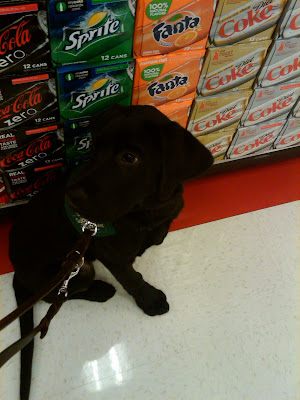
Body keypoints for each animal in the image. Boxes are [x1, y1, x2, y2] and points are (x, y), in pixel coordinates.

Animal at [7, 104, 213, 398]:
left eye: (129, 157)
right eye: (95, 147)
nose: (71, 197)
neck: (144, 210)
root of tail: (17, 272)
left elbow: (159, 233)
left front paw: (151, 240)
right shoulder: (110, 252)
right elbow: (132, 277)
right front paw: (150, 300)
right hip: (77, 267)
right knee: (56, 297)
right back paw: (100, 290)